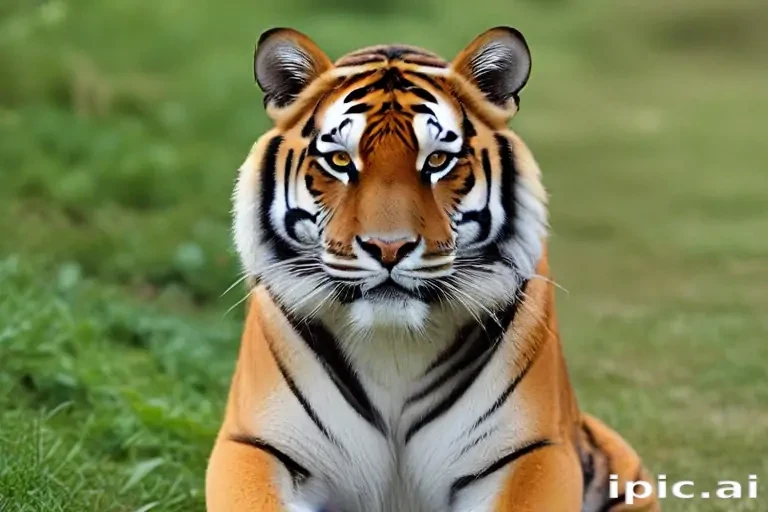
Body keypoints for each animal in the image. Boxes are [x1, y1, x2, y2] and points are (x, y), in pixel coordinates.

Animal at [206, 26, 661, 512]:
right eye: (341, 161)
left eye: (438, 161)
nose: (388, 248)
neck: (392, 346)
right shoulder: (255, 443)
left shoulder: (532, 450)